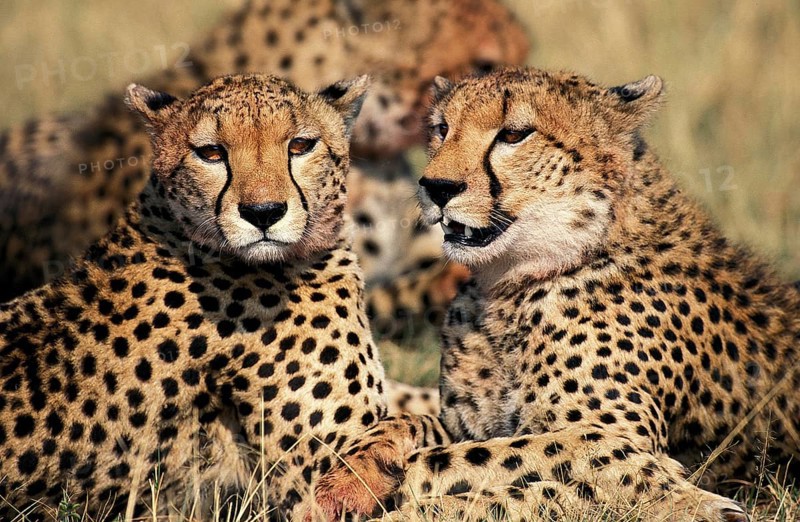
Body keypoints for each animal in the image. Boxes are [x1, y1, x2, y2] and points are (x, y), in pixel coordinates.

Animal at [311, 67, 800, 521]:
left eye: (513, 134)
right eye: (442, 129)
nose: (436, 187)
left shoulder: (617, 442)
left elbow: (509, 463)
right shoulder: (468, 421)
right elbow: (418, 424)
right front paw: (352, 474)